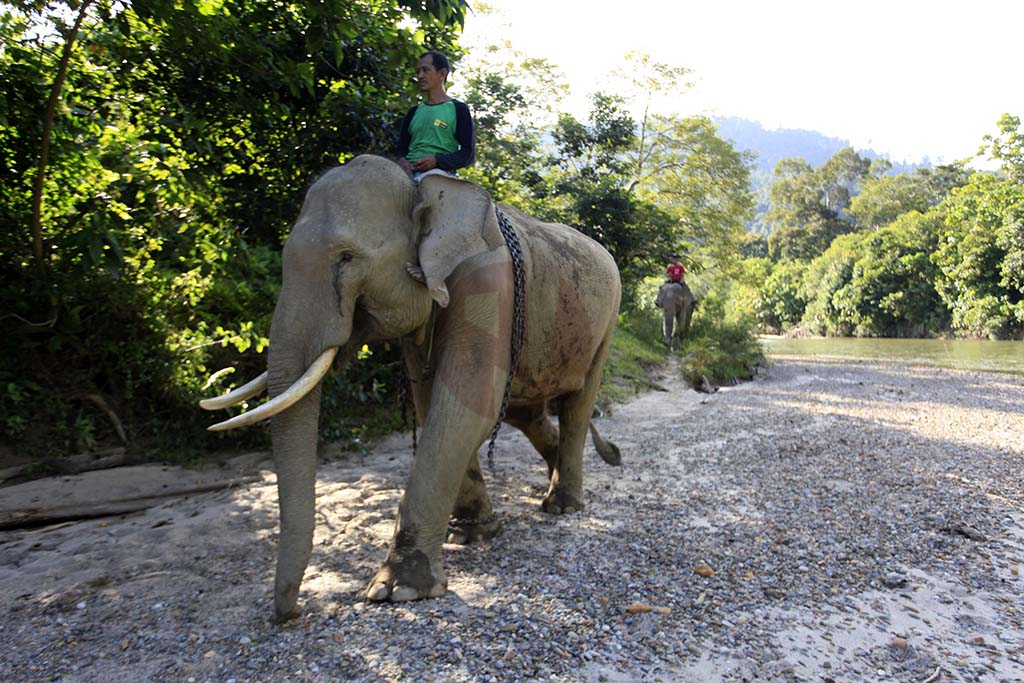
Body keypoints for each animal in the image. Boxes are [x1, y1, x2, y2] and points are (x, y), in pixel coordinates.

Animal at [196, 156, 618, 626]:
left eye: (346, 258)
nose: (289, 614)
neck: (421, 188)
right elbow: (430, 399)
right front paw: (472, 535)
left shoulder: (490, 282)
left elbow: (469, 403)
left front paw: (399, 591)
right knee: (527, 412)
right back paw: (552, 475)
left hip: (606, 322)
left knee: (576, 406)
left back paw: (562, 505)